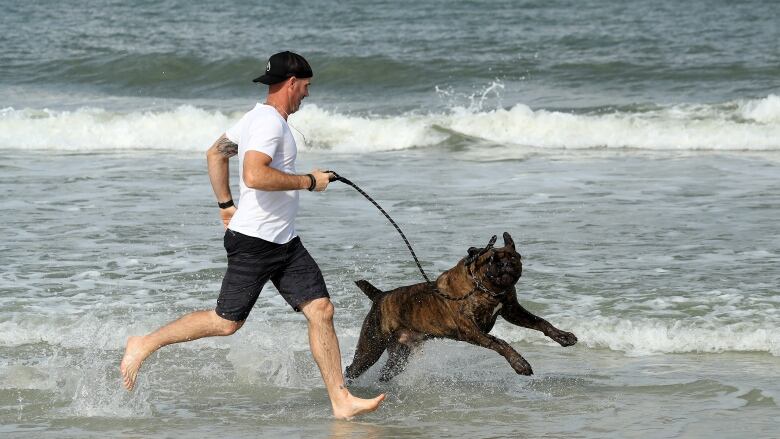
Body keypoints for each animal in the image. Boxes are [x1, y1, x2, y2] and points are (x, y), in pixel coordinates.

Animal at [344, 234, 576, 382]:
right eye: (491, 259)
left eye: (513, 257)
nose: (505, 265)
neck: (484, 288)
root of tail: (380, 295)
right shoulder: (472, 330)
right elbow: (500, 343)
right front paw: (520, 364)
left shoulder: (512, 310)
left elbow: (541, 322)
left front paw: (563, 336)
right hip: (370, 348)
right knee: (352, 368)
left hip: (400, 354)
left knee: (386, 372)